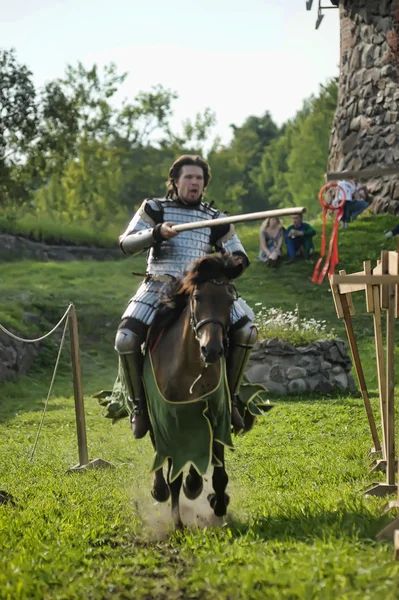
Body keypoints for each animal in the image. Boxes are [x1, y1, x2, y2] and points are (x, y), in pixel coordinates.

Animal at [144, 253, 250, 528]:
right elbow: (174, 474)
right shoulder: (169, 419)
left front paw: (218, 504)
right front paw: (177, 523)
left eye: (229, 300)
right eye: (198, 297)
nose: (211, 350)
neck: (190, 367)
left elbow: (218, 469)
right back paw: (159, 489)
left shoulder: (217, 414)